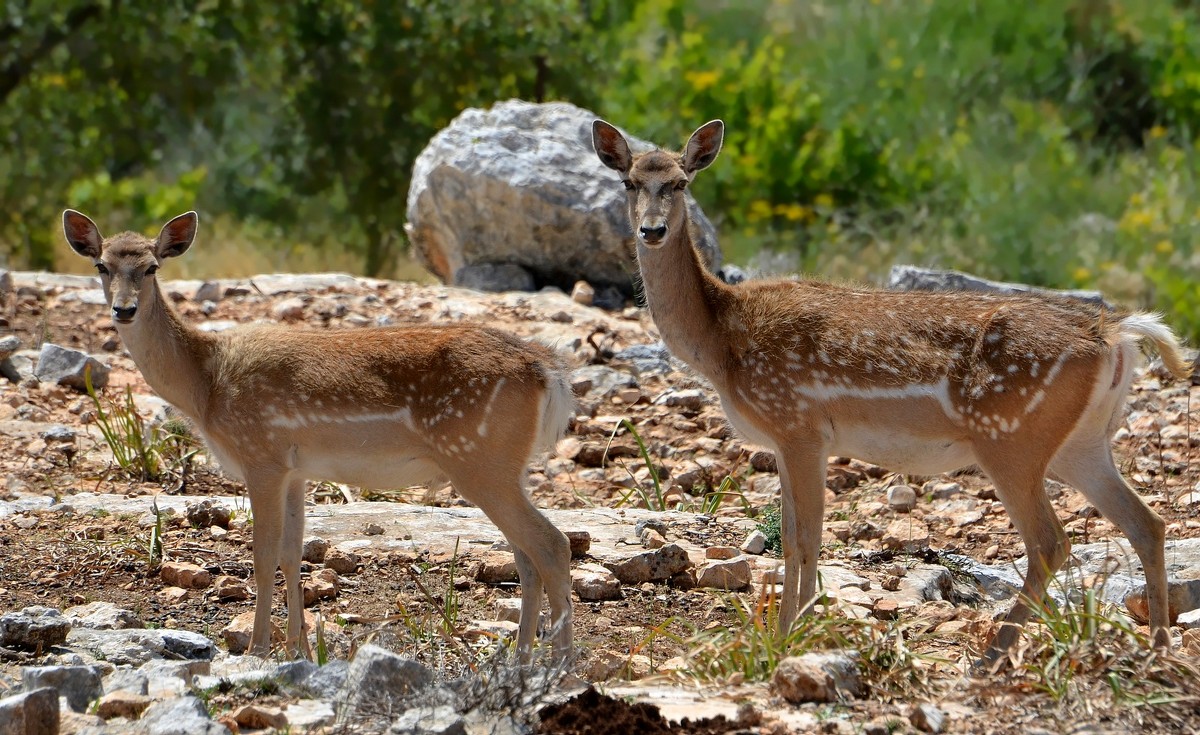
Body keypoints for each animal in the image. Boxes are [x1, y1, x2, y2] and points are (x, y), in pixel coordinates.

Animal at [60, 210, 576, 662]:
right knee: (526, 557)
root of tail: (546, 370)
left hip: (479, 458)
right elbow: (293, 555)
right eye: (101, 265)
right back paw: (519, 661)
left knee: (552, 545)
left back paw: (560, 667)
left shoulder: (261, 455)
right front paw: (301, 652)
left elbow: (263, 554)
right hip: (503, 466)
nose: (123, 309)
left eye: (151, 267)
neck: (205, 384)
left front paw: (258, 651)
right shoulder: (295, 469)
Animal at [588, 117, 1190, 662]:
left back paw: (992, 655)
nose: (651, 231)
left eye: (680, 182)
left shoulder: (797, 423)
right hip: (1080, 442)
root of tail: (1117, 334)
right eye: (629, 182)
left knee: (1050, 541)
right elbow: (794, 534)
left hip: (1011, 437)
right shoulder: (787, 440)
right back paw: (1158, 648)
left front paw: (790, 638)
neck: (720, 340)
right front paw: (786, 632)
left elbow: (805, 537)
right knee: (1147, 522)